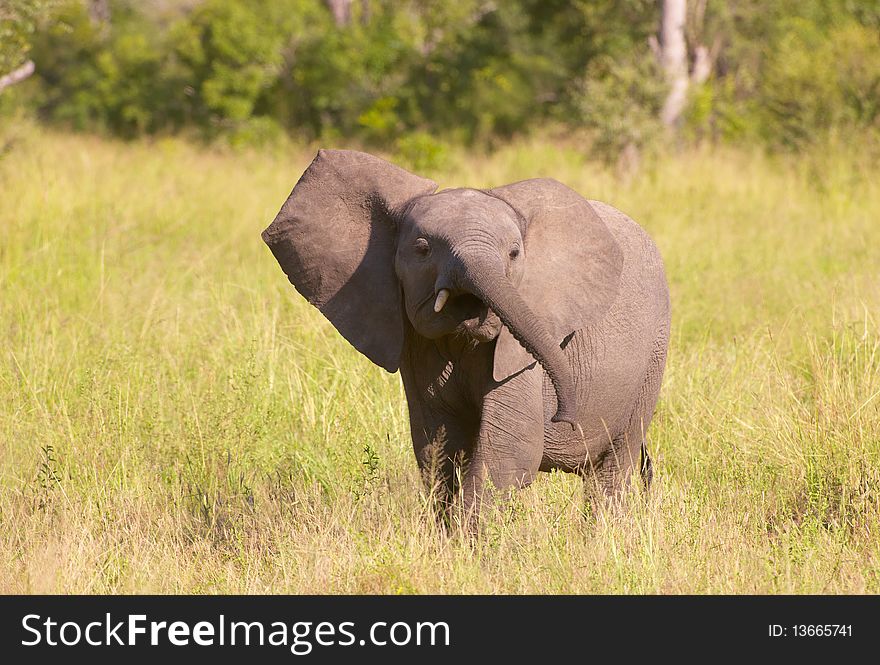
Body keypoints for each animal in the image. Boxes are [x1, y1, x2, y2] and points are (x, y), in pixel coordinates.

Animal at [260, 149, 668, 520]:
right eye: (422, 249)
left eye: (514, 254)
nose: (562, 416)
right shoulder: (416, 348)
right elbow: (438, 447)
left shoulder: (526, 350)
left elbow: (508, 451)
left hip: (652, 359)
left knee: (614, 466)